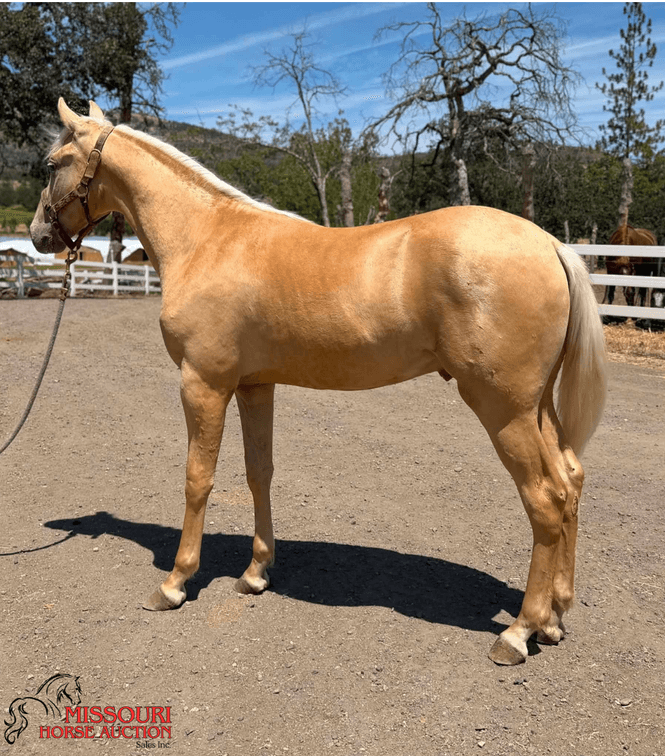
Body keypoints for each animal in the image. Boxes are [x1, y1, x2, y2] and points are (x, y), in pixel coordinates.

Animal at [30, 99, 607, 667]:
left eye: (52, 164)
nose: (38, 236)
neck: (206, 239)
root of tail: (550, 244)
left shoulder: (203, 385)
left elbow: (198, 479)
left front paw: (175, 583)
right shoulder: (253, 387)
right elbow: (258, 473)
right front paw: (255, 574)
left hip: (502, 408)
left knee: (546, 499)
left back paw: (518, 632)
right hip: (536, 406)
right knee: (572, 480)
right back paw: (554, 617)